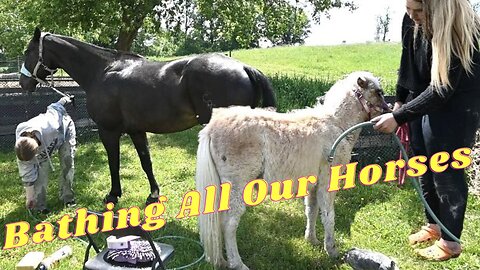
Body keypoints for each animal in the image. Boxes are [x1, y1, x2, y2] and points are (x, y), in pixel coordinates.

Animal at [19, 27, 278, 205]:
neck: (102, 71)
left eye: (28, 51)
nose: (23, 82)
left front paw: (113, 195)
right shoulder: (136, 130)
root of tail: (243, 67)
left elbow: (114, 163)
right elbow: (146, 162)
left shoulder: (108, 131)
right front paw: (154, 194)